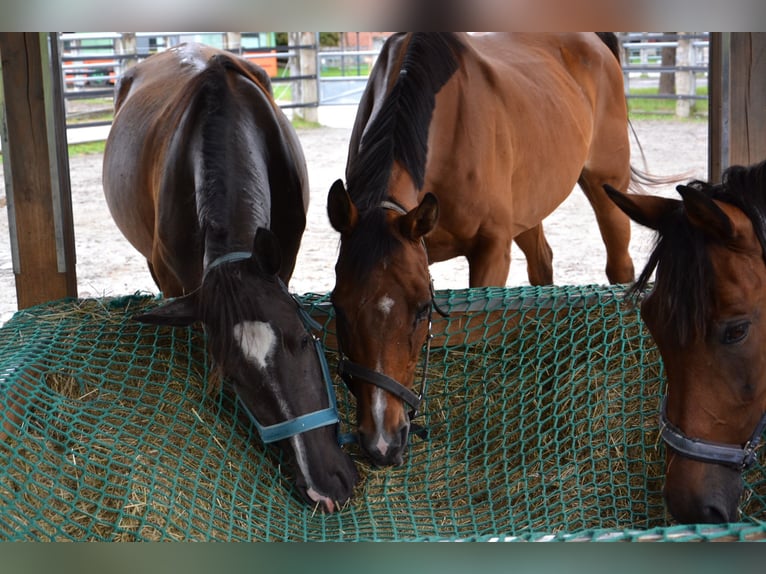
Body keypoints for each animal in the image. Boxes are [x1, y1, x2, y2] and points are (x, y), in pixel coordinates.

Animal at [327, 33, 646, 466]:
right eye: (339, 307)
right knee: (542, 267)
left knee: (620, 266)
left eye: (422, 309)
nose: (382, 441)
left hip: (607, 188)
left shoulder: (492, 250)